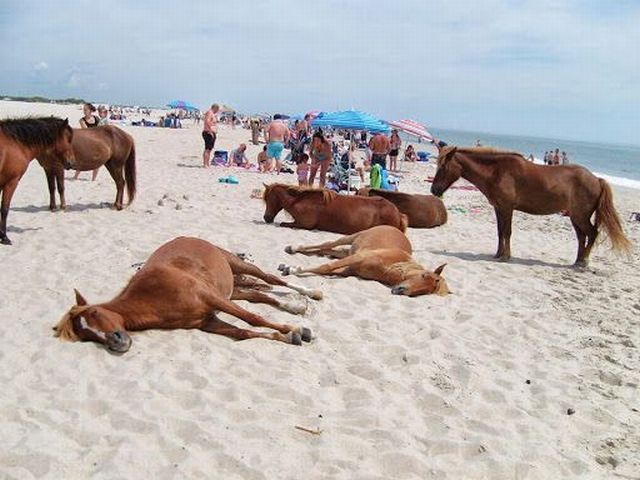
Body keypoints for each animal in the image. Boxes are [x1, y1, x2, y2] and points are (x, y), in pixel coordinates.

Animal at [0, 116, 74, 244]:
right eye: (68, 139)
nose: (71, 162)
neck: (14, 143)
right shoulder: (11, 182)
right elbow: (4, 209)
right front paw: (4, 237)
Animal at [54, 236, 322, 352]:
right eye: (86, 336)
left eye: (95, 312)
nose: (116, 342)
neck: (153, 296)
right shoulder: (207, 321)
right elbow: (244, 332)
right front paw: (289, 336)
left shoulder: (210, 298)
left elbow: (252, 319)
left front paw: (295, 329)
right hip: (231, 292)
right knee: (260, 295)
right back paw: (295, 307)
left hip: (236, 264)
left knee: (271, 279)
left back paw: (311, 294)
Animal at [264, 183, 410, 235]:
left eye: (268, 199)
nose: (266, 218)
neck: (300, 200)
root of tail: (398, 213)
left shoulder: (303, 224)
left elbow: (284, 224)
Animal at [280, 225, 450, 296]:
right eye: (424, 275)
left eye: (425, 291)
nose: (400, 290)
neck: (389, 267)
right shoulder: (357, 257)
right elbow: (325, 267)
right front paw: (291, 269)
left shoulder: (348, 269)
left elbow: (326, 269)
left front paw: (290, 268)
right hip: (351, 237)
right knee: (327, 244)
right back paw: (292, 248)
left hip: (346, 251)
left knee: (325, 250)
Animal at [428, 146, 632, 266]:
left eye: (443, 167)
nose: (434, 190)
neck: (496, 171)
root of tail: (596, 179)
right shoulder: (498, 208)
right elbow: (500, 231)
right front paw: (498, 254)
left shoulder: (506, 208)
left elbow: (507, 232)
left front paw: (506, 256)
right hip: (575, 216)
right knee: (582, 237)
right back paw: (577, 260)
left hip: (580, 216)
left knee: (592, 234)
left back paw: (584, 262)